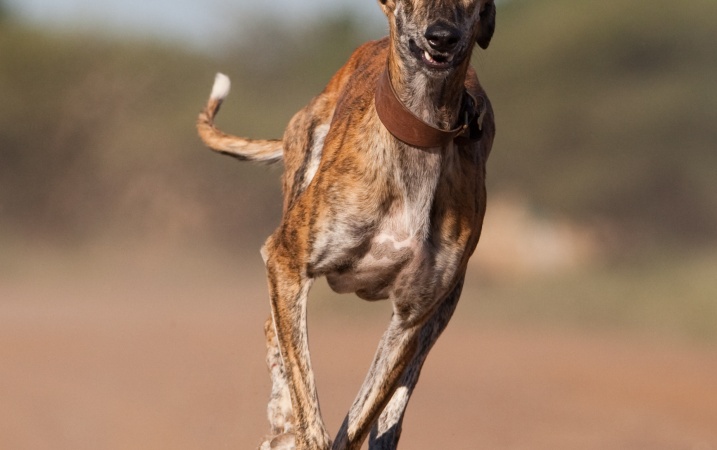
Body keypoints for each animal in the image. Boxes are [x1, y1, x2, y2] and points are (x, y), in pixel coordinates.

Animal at [199, 0, 496, 450]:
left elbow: (363, 413)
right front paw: (295, 424)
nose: (441, 37)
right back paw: (280, 423)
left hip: (443, 307)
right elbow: (307, 399)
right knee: (275, 336)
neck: (419, 141)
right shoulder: (286, 260)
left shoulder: (412, 316)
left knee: (402, 389)